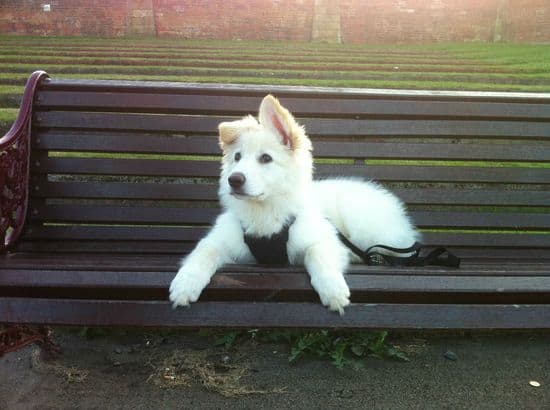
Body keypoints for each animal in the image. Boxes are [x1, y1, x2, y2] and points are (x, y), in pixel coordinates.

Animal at [170, 95, 420, 314]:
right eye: (237, 157)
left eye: (266, 158)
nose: (234, 180)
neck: (265, 210)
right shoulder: (219, 239)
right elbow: (203, 252)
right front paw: (184, 284)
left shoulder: (325, 239)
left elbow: (317, 254)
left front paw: (332, 290)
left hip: (364, 225)